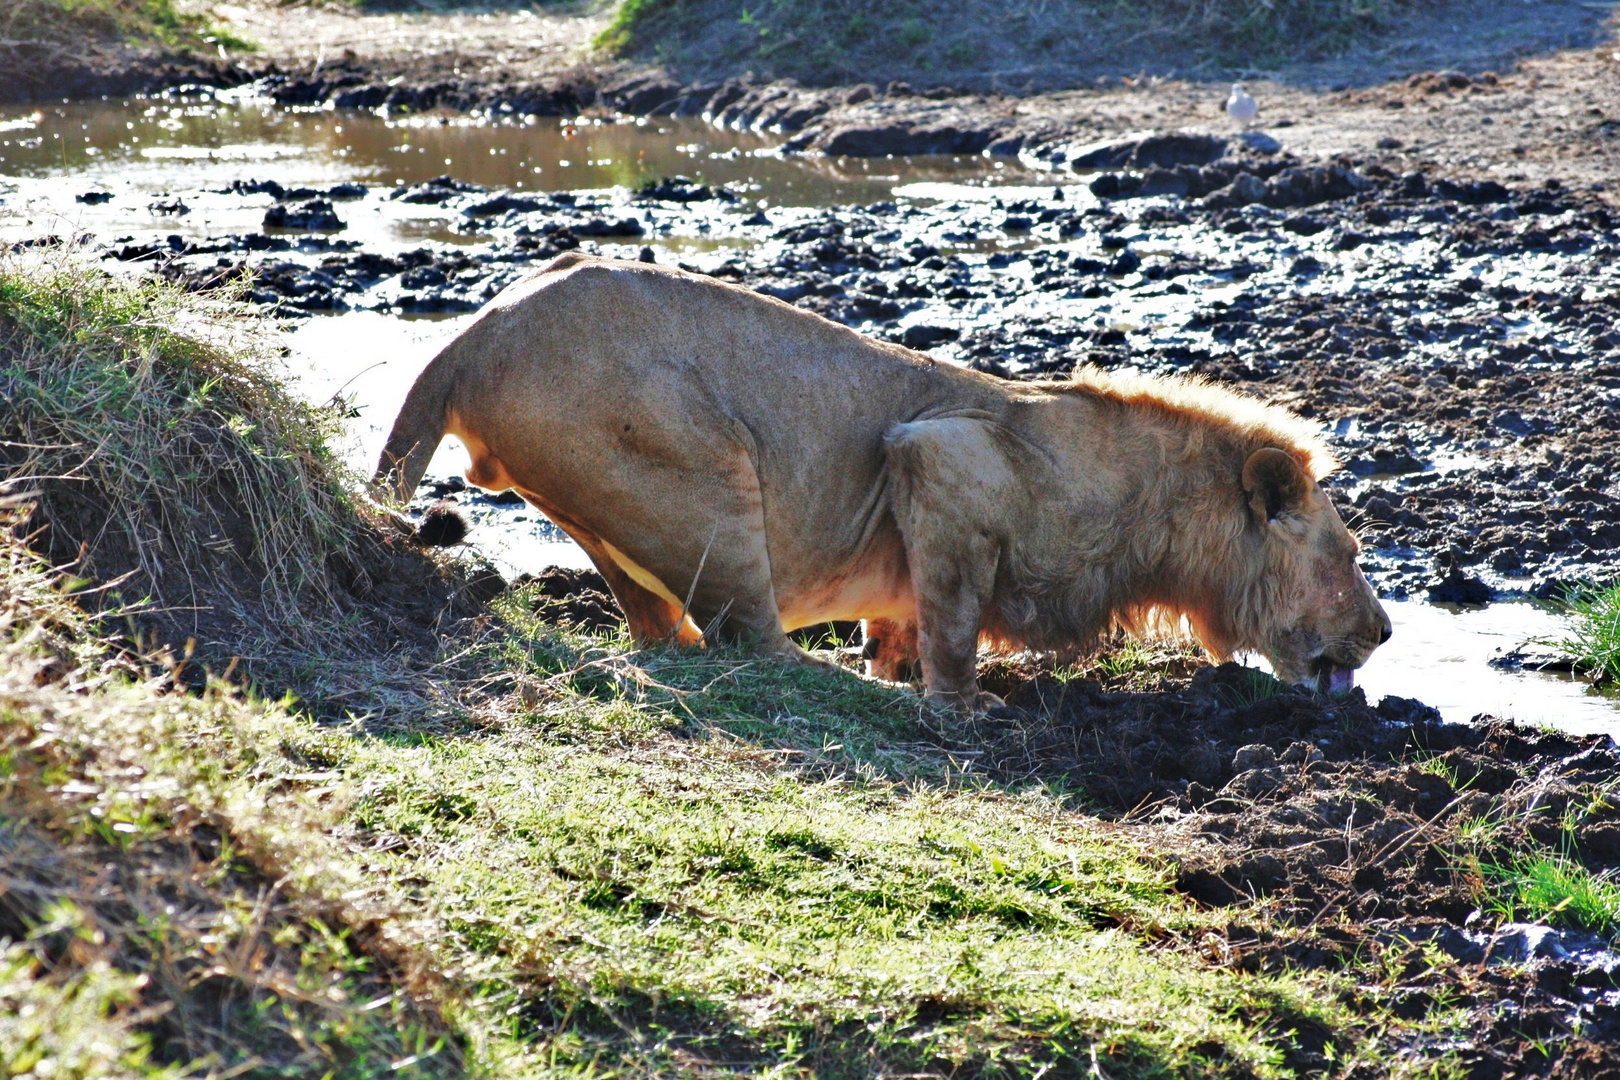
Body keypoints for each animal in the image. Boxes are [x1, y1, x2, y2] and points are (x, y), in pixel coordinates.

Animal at [372, 252, 1386, 709]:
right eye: (1347, 556)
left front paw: (897, 666)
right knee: (756, 646)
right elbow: (955, 619)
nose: (1383, 631)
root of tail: (470, 336)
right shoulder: (938, 458)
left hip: (612, 506)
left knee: (666, 630)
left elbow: (906, 620)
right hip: (705, 476)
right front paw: (960, 704)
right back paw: (861, 693)